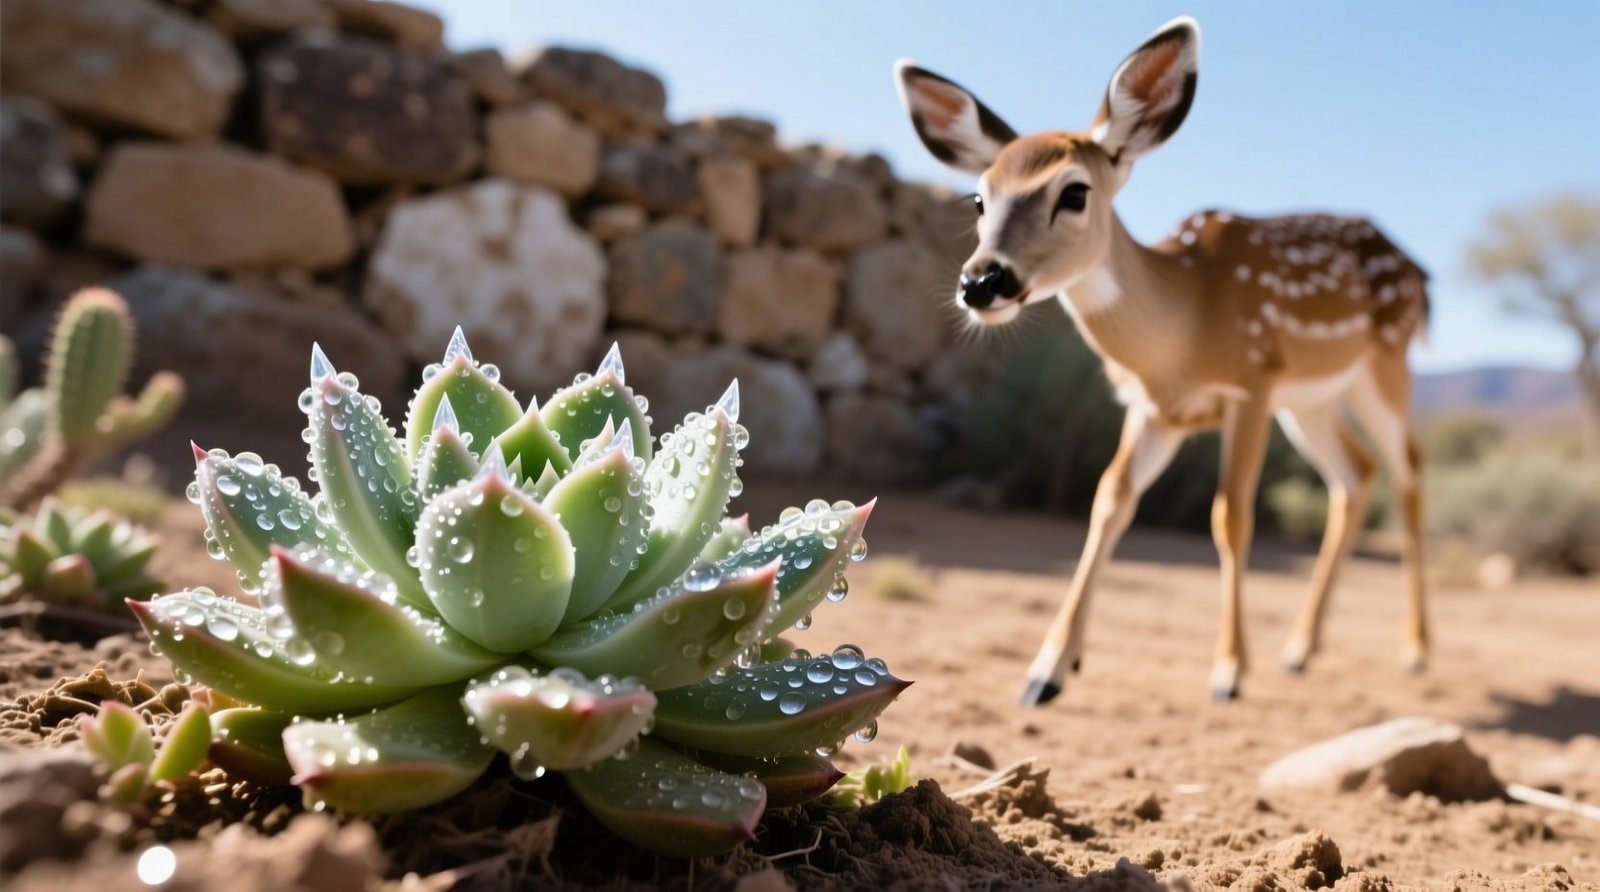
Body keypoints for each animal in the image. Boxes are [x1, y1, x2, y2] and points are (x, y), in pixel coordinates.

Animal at [894, 16, 1431, 704]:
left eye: (1075, 192)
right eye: (979, 199)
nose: (983, 281)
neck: (1184, 325)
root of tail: (1417, 269)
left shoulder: (1251, 383)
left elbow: (1231, 516)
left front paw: (1228, 673)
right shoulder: (1153, 410)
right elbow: (1108, 501)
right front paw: (1047, 672)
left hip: (1384, 369)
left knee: (1409, 471)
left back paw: (1415, 652)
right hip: (1310, 401)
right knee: (1356, 475)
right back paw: (1300, 650)